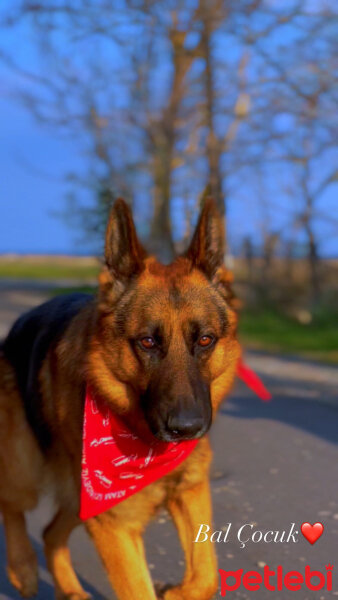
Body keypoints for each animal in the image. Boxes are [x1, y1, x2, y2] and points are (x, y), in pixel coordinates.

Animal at [0, 199, 240, 596]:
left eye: (205, 340)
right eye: (148, 341)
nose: (186, 428)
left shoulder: (189, 490)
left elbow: (205, 576)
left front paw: (175, 592)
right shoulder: (115, 526)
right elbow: (139, 590)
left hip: (79, 497)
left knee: (50, 533)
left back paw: (69, 589)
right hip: (27, 466)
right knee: (12, 504)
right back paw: (22, 568)